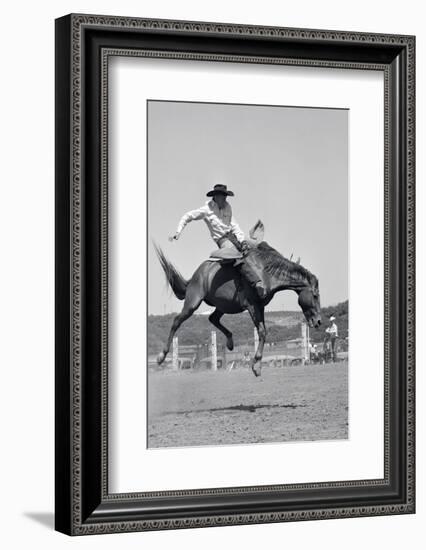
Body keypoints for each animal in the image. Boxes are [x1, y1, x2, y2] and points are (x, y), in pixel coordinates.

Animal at [155, 222, 322, 378]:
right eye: (315, 295)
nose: (318, 321)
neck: (265, 272)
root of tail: (196, 275)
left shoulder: (260, 306)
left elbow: (263, 331)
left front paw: (257, 365)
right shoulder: (252, 306)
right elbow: (262, 332)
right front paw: (256, 366)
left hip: (223, 305)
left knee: (213, 318)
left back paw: (230, 342)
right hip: (192, 302)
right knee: (177, 321)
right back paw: (161, 356)